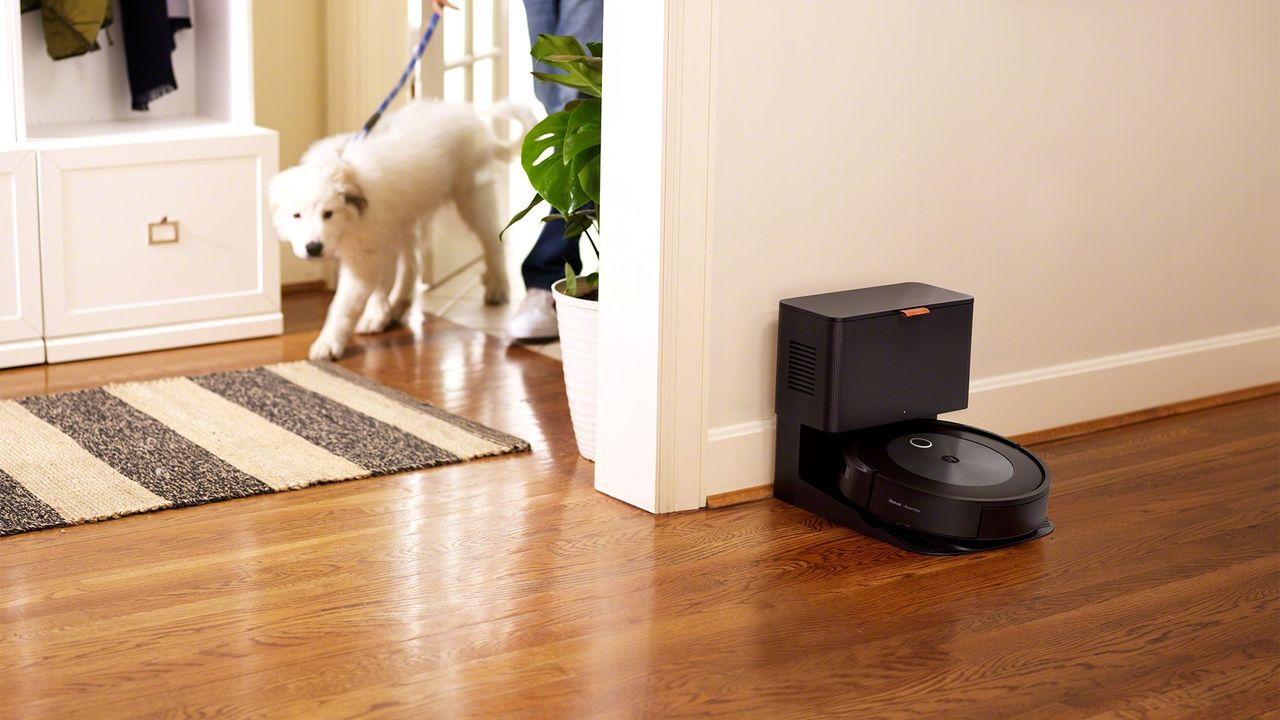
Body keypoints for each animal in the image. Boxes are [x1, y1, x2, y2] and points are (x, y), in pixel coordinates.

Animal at [270, 101, 529, 358]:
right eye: (296, 215)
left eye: (328, 214)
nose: (313, 248)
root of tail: (470, 117)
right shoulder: (377, 238)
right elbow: (380, 283)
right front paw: (377, 315)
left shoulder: (366, 251)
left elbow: (344, 304)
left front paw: (328, 343)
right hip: (406, 218)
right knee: (412, 264)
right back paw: (398, 306)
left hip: (472, 198)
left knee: (492, 241)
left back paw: (498, 287)